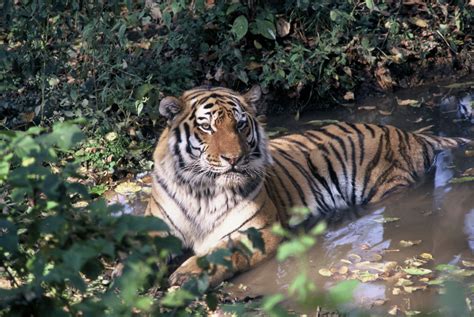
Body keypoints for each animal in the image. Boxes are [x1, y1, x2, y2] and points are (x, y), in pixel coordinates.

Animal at [145, 85, 470, 286]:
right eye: (206, 127)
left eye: (240, 125)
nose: (234, 159)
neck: (202, 190)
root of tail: (412, 134)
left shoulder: (259, 231)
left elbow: (224, 250)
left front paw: (186, 275)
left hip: (390, 187)